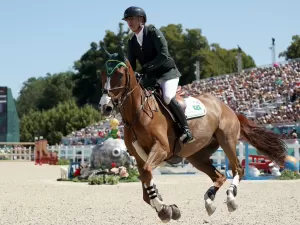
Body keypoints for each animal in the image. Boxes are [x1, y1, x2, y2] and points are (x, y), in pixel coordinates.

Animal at [98, 46, 286, 223]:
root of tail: (227, 108)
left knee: (237, 169)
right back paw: (209, 201)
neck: (137, 114)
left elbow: (147, 176)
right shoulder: (139, 158)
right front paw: (168, 208)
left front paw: (164, 210)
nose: (105, 107)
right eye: (102, 75)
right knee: (219, 176)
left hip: (227, 141)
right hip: (196, 156)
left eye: (119, 75)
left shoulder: (161, 149)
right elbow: (146, 186)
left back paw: (231, 199)